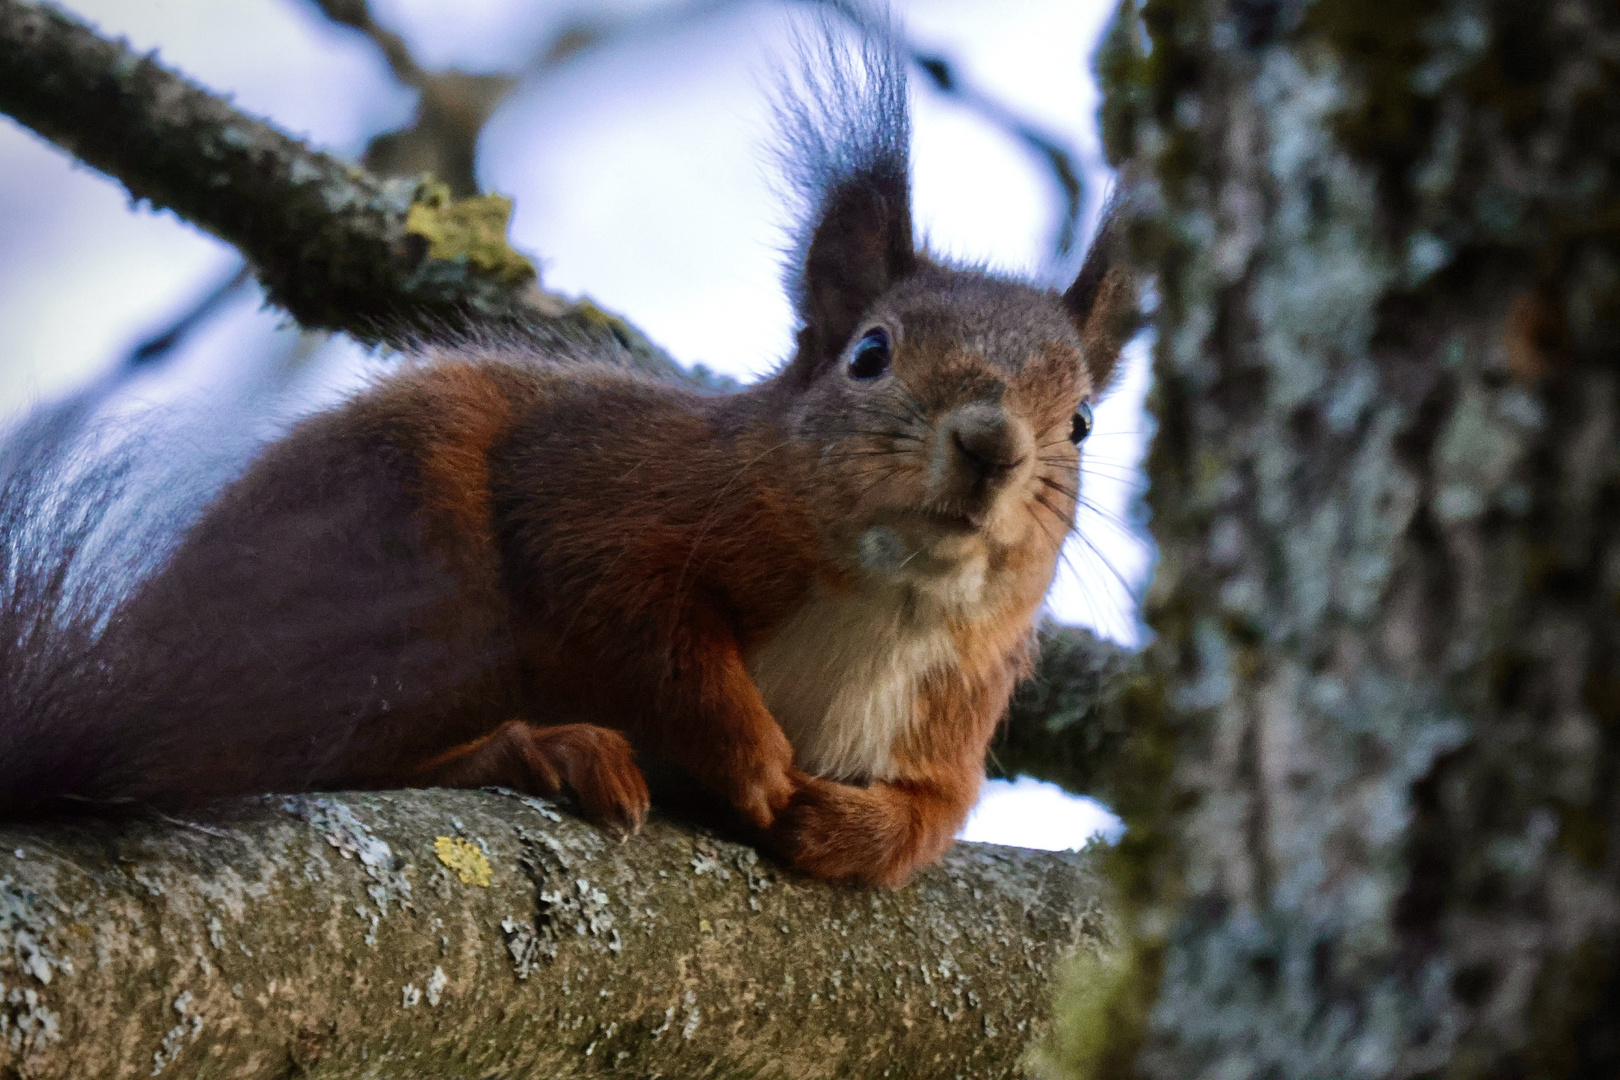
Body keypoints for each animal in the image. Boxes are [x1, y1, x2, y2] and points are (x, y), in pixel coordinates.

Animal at [0, 27, 1140, 887]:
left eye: (1083, 421)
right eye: (871, 353)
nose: (992, 445)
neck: (881, 605)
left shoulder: (953, 718)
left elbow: (927, 821)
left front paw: (842, 829)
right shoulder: (615, 492)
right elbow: (642, 621)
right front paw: (754, 761)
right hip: (399, 564)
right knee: (304, 753)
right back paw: (540, 750)